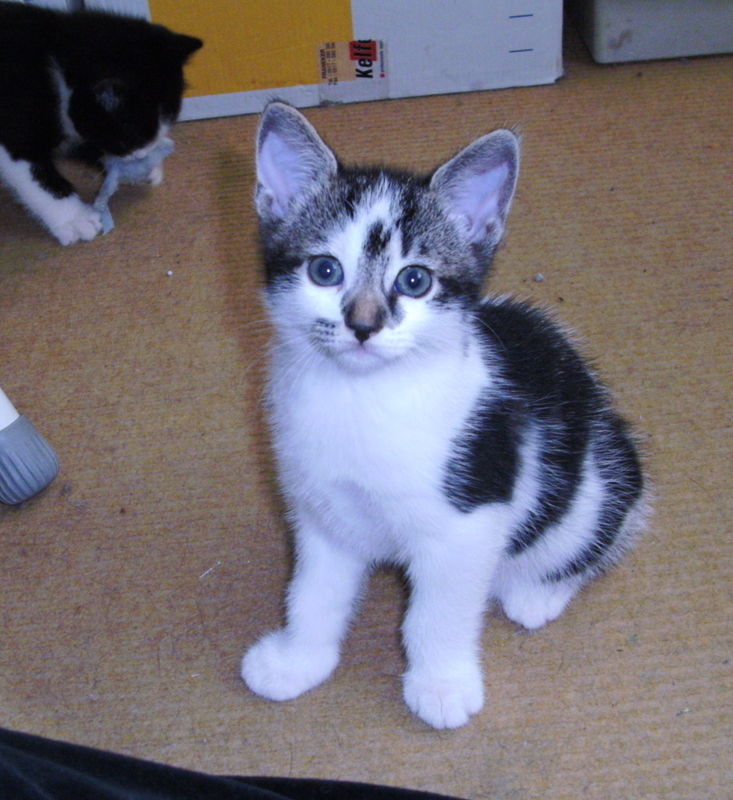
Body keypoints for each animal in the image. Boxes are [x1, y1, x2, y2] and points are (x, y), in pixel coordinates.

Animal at [241, 101, 647, 729]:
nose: (363, 324)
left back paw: (536, 591)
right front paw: (297, 660)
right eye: (325, 271)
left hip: (595, 485)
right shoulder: (320, 508)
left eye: (415, 280)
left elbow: (437, 613)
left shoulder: (470, 520)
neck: (362, 398)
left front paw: (441, 684)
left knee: (598, 534)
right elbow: (312, 591)